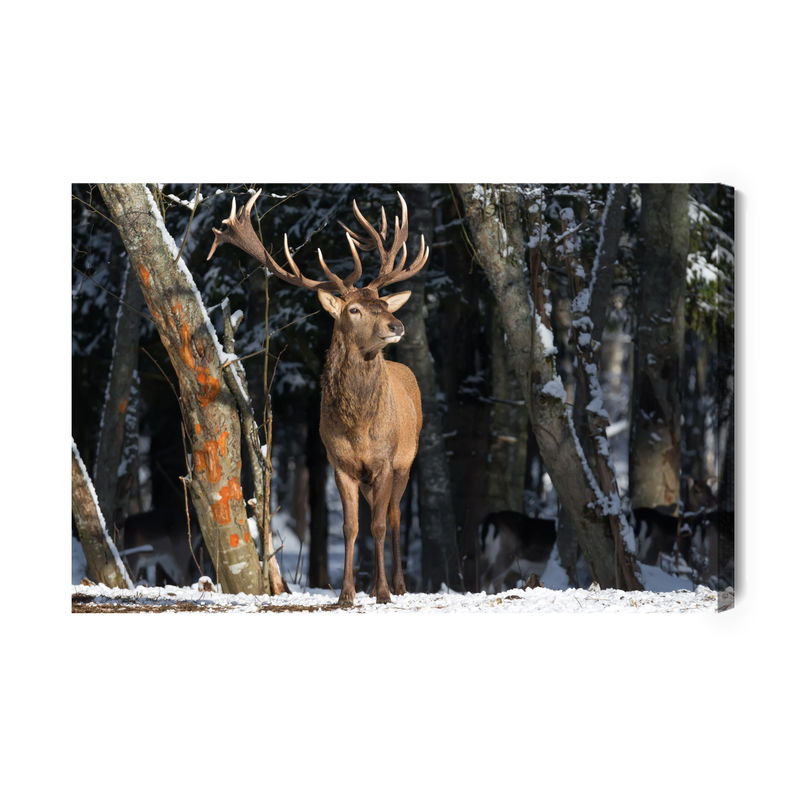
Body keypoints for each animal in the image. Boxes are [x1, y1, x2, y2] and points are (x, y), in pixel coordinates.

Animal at [208, 190, 429, 605]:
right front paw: (346, 594)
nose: (396, 325)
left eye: (383, 304)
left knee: (393, 517)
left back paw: (399, 584)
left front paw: (383, 593)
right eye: (354, 309)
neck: (359, 426)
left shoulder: (385, 461)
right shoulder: (338, 462)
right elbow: (350, 527)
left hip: (406, 462)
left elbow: (378, 525)